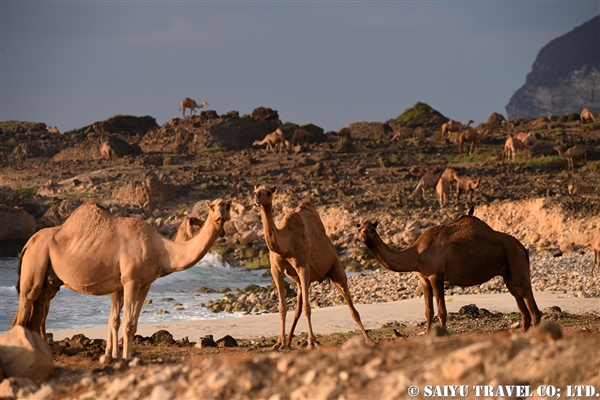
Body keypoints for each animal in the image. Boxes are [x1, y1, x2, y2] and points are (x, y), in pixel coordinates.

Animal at [12, 198, 232, 358]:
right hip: (35, 265)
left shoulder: (144, 284)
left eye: (228, 205)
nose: (221, 215)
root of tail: (27, 244)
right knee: (22, 313)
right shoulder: (130, 281)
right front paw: (124, 358)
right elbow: (124, 323)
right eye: (213, 206)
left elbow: (129, 323)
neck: (160, 249)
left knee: (37, 316)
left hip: (49, 282)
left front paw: (121, 355)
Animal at [253, 186, 376, 348]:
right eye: (256, 190)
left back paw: (369, 339)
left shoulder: (303, 266)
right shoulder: (275, 269)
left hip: (336, 267)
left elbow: (307, 307)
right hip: (301, 283)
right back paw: (288, 342)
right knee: (297, 310)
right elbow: (282, 307)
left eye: (268, 192)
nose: (256, 196)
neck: (286, 244)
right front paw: (280, 343)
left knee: (350, 304)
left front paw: (311, 342)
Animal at [356, 217, 544, 332]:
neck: (416, 254)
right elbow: (428, 311)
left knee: (530, 302)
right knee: (521, 304)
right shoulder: (423, 279)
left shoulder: (436, 276)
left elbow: (441, 311)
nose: (364, 237)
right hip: (507, 273)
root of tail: (522, 247)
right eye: (359, 229)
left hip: (515, 258)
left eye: (371, 229)